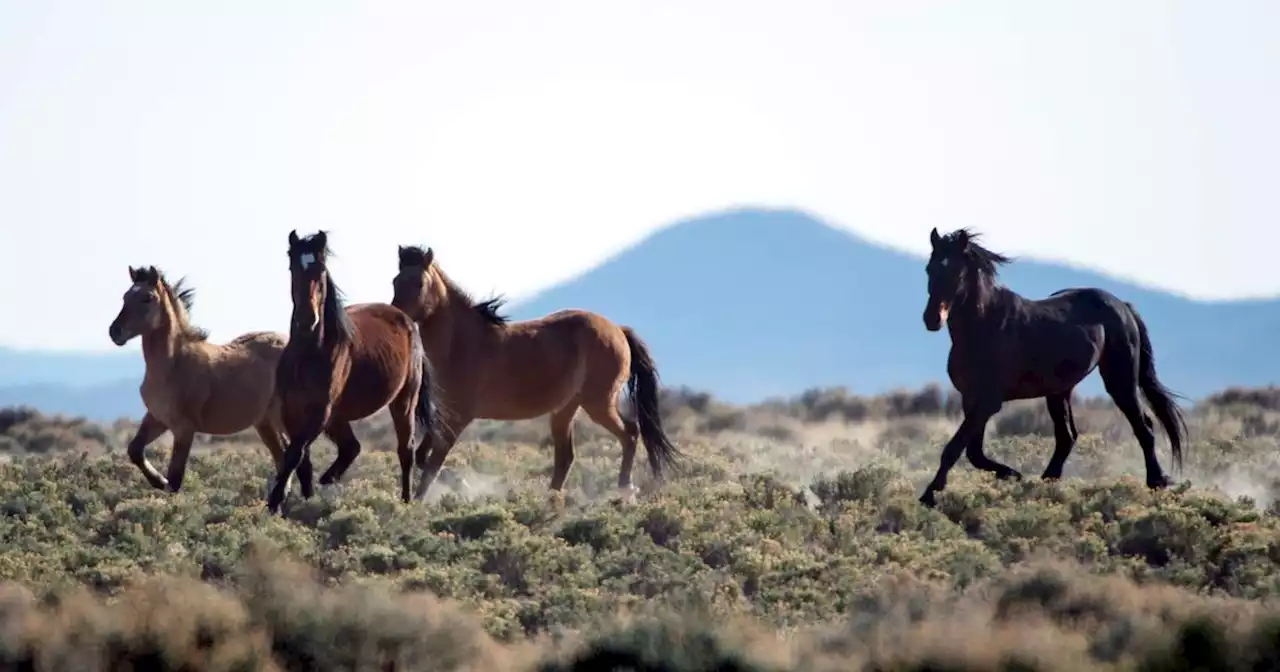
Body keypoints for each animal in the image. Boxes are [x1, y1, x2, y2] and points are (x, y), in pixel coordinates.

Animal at [266, 229, 440, 514]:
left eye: (321, 268)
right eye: (293, 267)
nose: (307, 319)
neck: (309, 353)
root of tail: (407, 319)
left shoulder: (319, 413)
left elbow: (295, 454)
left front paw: (275, 502)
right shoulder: (291, 411)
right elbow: (301, 461)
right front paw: (303, 499)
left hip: (403, 400)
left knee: (406, 449)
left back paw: (405, 502)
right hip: (339, 416)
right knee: (352, 447)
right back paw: (329, 479)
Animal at [389, 243, 686, 499]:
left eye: (419, 283)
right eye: (395, 281)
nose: (396, 318)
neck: (463, 343)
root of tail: (618, 330)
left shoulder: (457, 417)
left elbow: (432, 465)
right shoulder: (445, 414)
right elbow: (424, 456)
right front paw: (457, 483)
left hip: (598, 403)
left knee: (630, 433)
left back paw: (625, 489)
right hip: (566, 409)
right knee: (567, 457)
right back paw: (551, 501)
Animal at [916, 227, 1182, 506]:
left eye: (958, 272)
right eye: (929, 269)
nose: (932, 319)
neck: (984, 326)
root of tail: (1123, 306)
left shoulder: (988, 401)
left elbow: (955, 448)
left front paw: (929, 495)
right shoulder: (970, 399)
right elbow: (972, 452)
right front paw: (1013, 475)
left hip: (1120, 380)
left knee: (1144, 427)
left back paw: (1157, 482)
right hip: (1059, 390)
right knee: (1068, 437)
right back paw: (1044, 484)